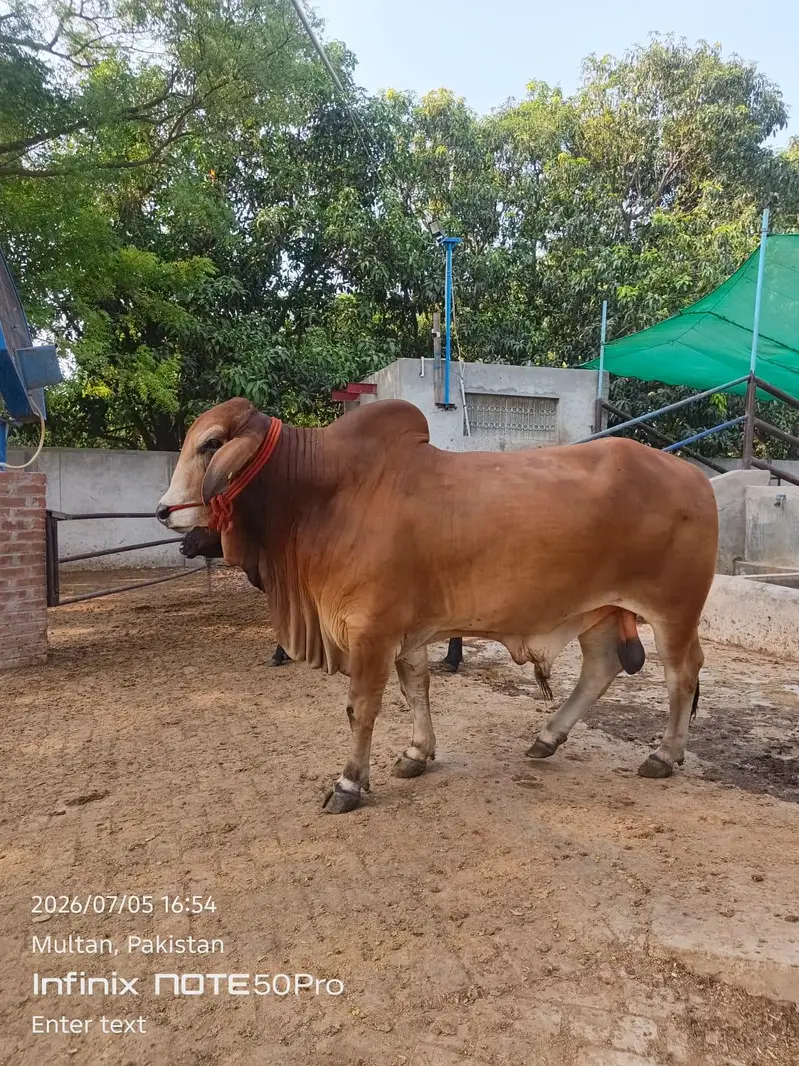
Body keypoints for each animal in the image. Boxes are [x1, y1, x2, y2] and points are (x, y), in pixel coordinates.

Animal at [157, 397, 717, 815]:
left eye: (211, 444)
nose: (163, 512)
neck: (321, 494)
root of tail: (696, 478)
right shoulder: (406, 631)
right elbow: (416, 690)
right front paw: (416, 754)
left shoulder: (371, 631)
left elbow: (361, 707)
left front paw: (348, 784)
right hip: (596, 610)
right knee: (601, 667)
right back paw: (547, 738)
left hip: (674, 610)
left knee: (682, 675)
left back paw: (664, 755)